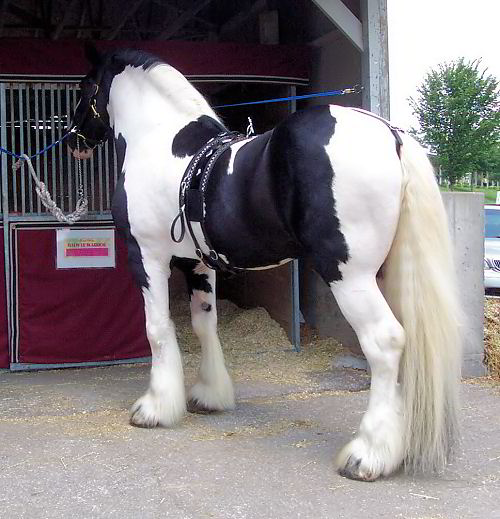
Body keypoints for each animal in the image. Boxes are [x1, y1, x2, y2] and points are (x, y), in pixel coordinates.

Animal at [66, 46, 460, 482]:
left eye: (84, 87)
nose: (72, 140)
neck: (159, 140)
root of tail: (391, 135)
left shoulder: (148, 257)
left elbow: (157, 329)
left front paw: (154, 408)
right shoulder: (198, 265)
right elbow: (204, 325)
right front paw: (210, 395)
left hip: (349, 274)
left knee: (385, 341)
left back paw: (368, 454)